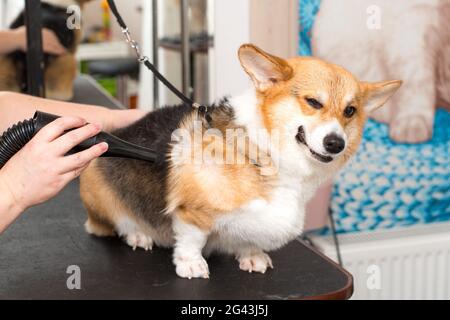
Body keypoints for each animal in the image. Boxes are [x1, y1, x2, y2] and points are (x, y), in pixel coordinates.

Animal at [80, 43, 400, 278]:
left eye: (350, 111)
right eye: (313, 102)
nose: (336, 143)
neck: (264, 153)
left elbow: (249, 238)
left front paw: (251, 256)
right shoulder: (192, 212)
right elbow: (192, 239)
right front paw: (191, 264)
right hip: (98, 189)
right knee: (114, 224)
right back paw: (138, 235)